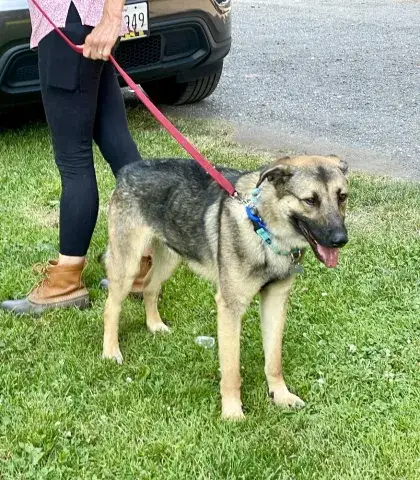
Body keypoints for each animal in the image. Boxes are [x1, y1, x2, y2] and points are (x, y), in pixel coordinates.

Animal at [102, 154, 349, 420]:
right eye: (310, 200)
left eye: (342, 196)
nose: (340, 239)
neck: (263, 228)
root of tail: (128, 170)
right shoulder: (230, 308)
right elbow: (231, 369)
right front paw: (232, 412)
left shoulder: (275, 301)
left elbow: (274, 360)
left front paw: (280, 395)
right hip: (127, 266)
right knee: (111, 307)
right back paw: (111, 351)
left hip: (169, 259)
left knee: (150, 287)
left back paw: (155, 325)